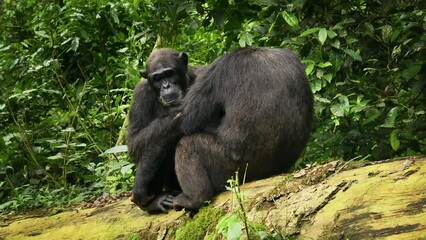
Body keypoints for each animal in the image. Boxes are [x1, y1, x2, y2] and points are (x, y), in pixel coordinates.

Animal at [126, 48, 205, 212]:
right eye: (157, 78)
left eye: (169, 73)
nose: (166, 86)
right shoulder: (140, 94)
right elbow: (134, 142)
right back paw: (155, 202)